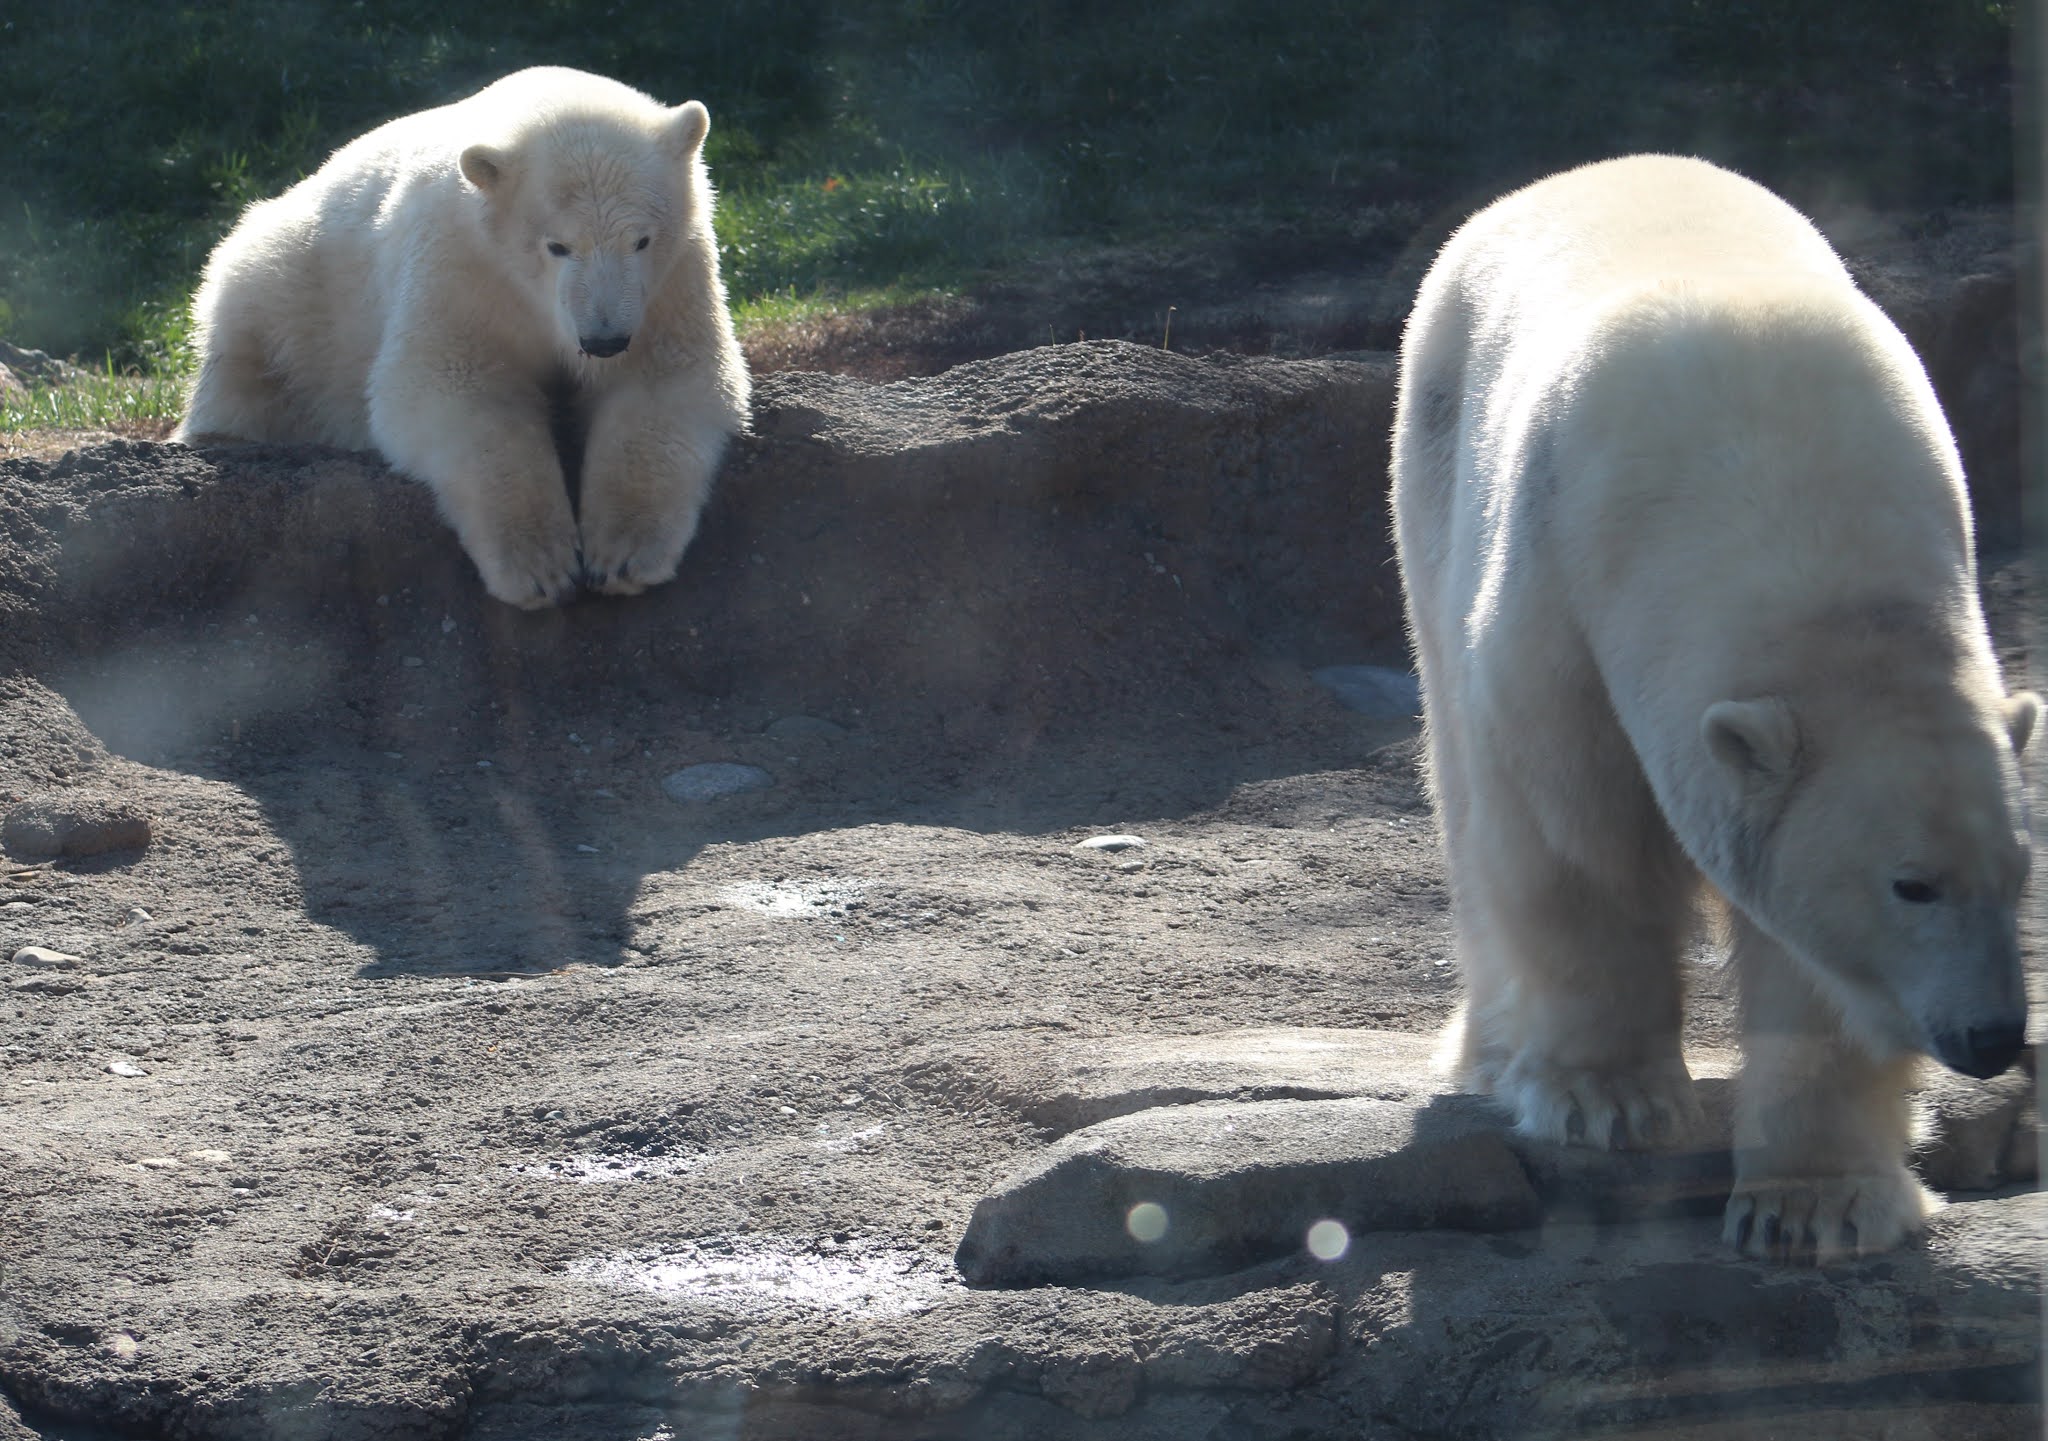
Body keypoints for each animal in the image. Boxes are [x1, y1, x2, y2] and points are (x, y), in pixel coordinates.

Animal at [174, 66, 750, 609]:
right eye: (557, 246)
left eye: (642, 240)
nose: (603, 340)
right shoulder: (462, 266)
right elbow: (456, 386)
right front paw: (539, 568)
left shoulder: (671, 278)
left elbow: (663, 379)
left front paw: (623, 556)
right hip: (291, 283)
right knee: (250, 351)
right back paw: (220, 434)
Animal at [1389, 154, 2037, 1263]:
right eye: (1912, 885)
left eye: (2020, 872)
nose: (1991, 1035)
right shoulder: (1562, 591)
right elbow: (1574, 834)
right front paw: (1605, 1099)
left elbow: (1808, 954)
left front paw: (1813, 1202)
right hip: (1430, 463)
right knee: (1468, 798)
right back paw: (1493, 1049)